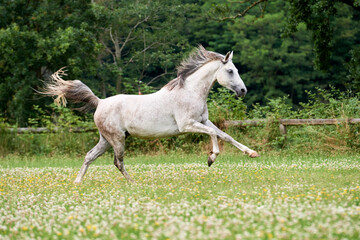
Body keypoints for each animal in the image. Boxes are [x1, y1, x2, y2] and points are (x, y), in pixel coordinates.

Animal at [43, 45, 258, 184]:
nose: (243, 91)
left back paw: (78, 182)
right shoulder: (187, 125)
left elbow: (226, 136)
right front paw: (211, 158)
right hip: (117, 139)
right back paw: (133, 183)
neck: (190, 91)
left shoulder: (204, 121)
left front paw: (252, 153)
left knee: (90, 156)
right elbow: (214, 135)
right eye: (230, 71)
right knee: (117, 161)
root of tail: (100, 102)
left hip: (106, 139)